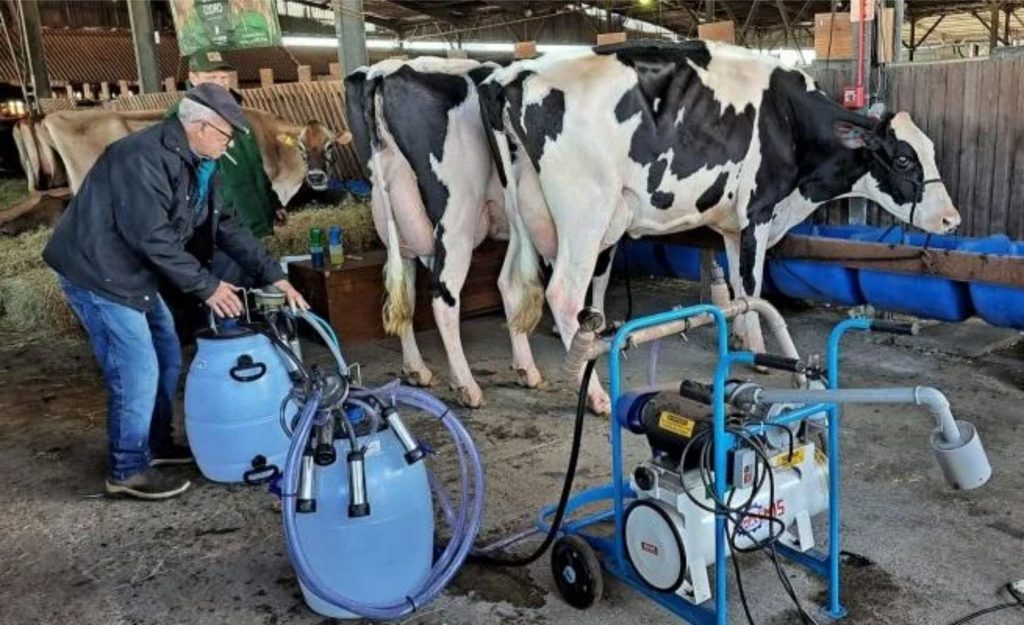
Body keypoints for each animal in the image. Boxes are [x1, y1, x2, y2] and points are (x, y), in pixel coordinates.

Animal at [479, 37, 958, 409]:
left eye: (932, 150)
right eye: (903, 158)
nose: (951, 218)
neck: (791, 119)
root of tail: (516, 73)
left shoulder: (732, 226)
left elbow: (738, 289)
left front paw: (745, 340)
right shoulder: (758, 211)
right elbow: (753, 285)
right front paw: (767, 356)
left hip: (520, 207)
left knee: (510, 283)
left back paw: (526, 370)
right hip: (586, 210)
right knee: (562, 292)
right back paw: (594, 394)